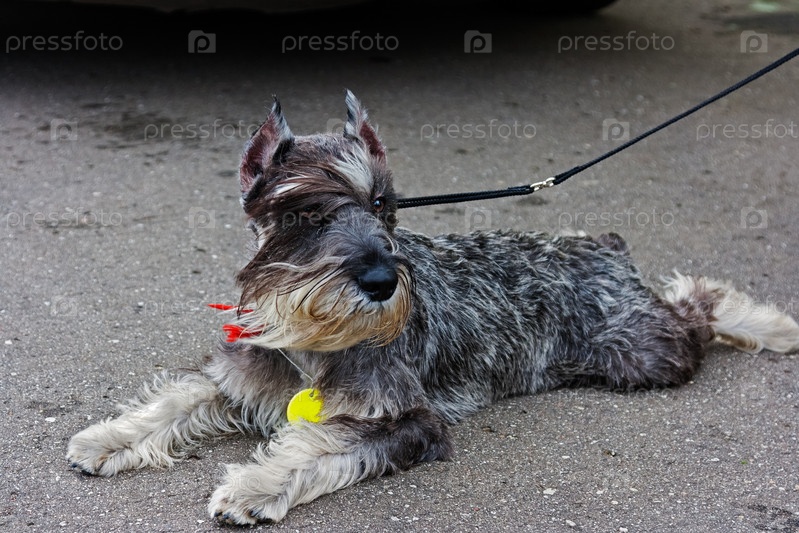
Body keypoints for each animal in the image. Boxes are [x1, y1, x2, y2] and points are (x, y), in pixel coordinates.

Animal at [67, 91, 799, 525]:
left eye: (384, 204)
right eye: (303, 210)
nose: (382, 279)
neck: (314, 342)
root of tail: (598, 245)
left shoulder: (408, 421)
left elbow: (320, 443)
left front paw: (252, 487)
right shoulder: (238, 374)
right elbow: (178, 398)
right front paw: (107, 438)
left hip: (642, 351)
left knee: (697, 305)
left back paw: (772, 323)